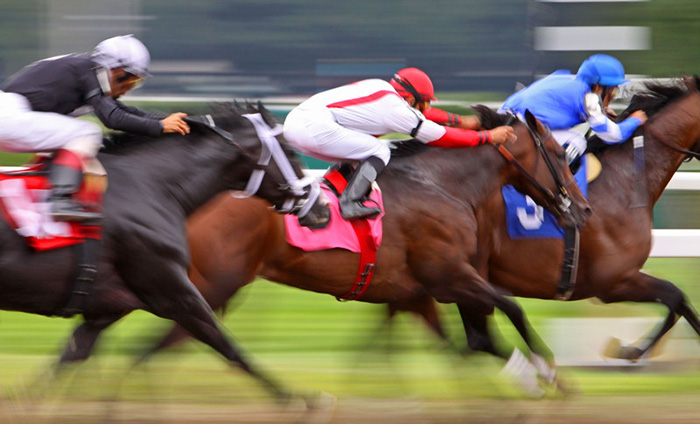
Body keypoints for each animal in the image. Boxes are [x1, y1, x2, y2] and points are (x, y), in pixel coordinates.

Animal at [1, 102, 330, 400]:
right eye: (289, 151)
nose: (323, 209)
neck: (151, 187)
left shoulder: (107, 305)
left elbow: (67, 357)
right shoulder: (175, 292)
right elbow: (227, 346)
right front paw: (300, 401)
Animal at [120, 107, 592, 390]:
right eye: (558, 153)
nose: (584, 209)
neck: (441, 185)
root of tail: (182, 196)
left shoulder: (416, 293)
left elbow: (462, 345)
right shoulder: (449, 275)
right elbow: (510, 308)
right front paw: (547, 371)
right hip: (213, 283)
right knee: (160, 343)